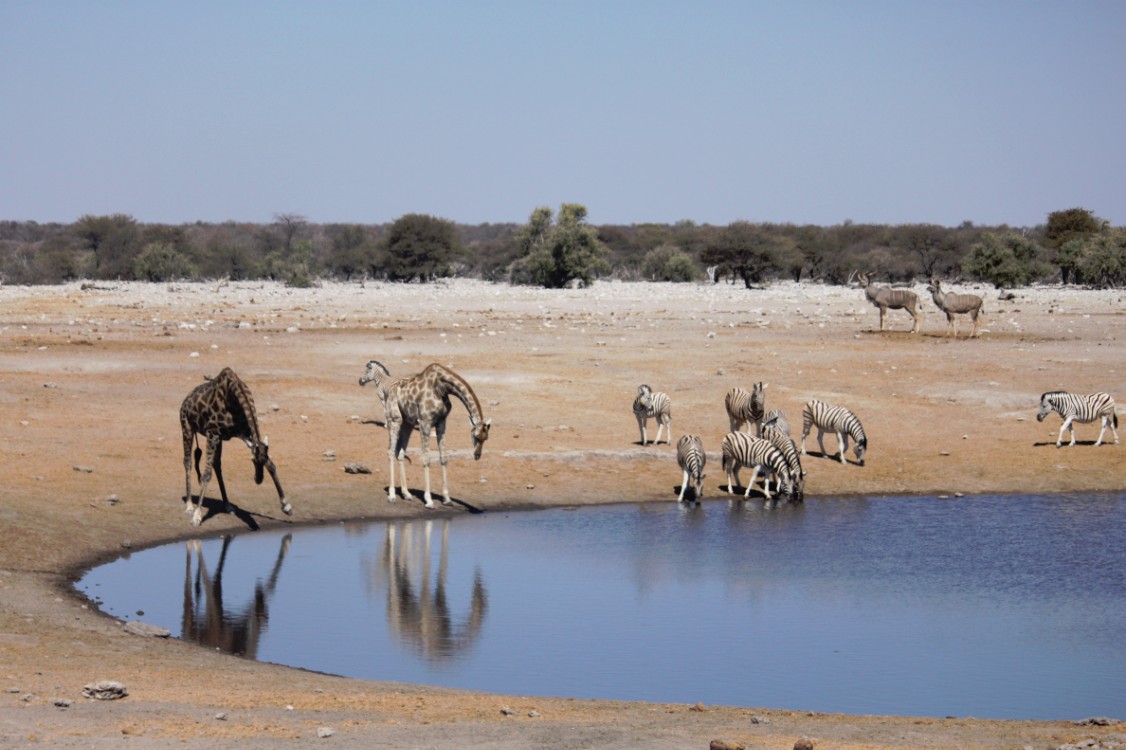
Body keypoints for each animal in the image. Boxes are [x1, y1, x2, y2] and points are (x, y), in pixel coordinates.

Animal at [177, 364, 288, 522]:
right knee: (188, 462)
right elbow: (206, 473)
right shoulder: (212, 433)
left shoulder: (242, 433)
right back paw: (189, 505)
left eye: (257, 461)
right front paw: (197, 515)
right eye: (253, 461)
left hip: (218, 439)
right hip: (187, 426)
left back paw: (227, 505)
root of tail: (186, 400)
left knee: (217, 465)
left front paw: (286, 506)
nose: (258, 479)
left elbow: (271, 464)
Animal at [382, 362, 488, 509]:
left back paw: (406, 493)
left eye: (486, 438)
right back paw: (392, 495)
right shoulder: (425, 422)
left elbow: (443, 457)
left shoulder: (441, 422)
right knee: (390, 451)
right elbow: (426, 458)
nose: (477, 455)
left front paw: (447, 498)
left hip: (408, 423)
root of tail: (389, 390)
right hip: (394, 419)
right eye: (476, 436)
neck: (442, 387)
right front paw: (429, 500)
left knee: (400, 452)